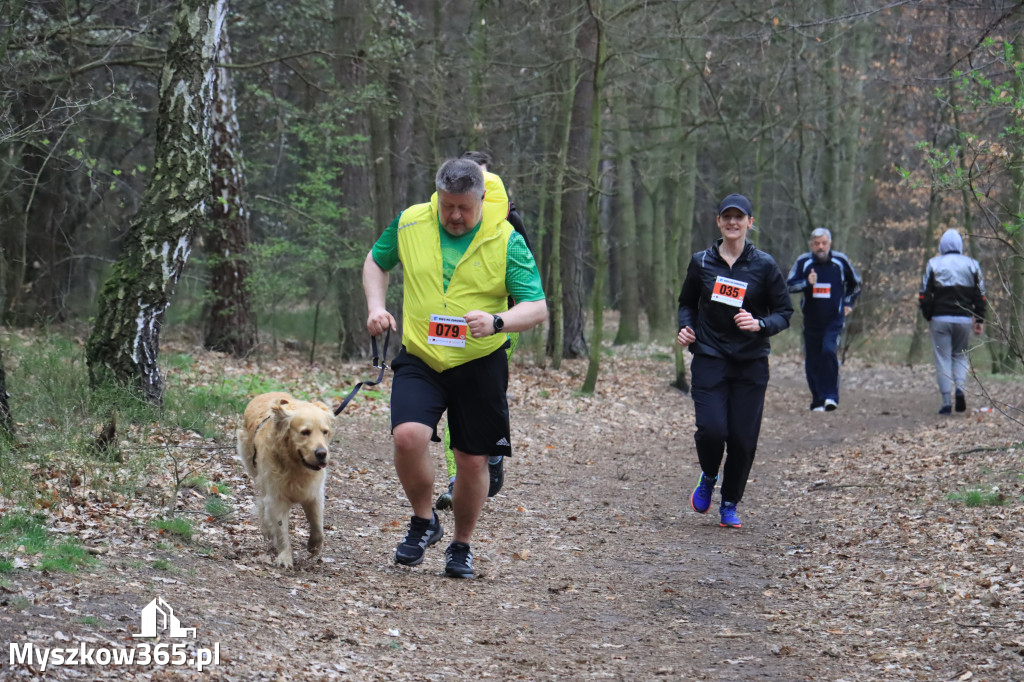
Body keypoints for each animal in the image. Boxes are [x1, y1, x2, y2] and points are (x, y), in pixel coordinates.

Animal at [235, 391, 331, 565]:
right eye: (305, 432)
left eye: (324, 431)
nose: (322, 453)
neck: (295, 466)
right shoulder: (276, 495)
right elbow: (281, 528)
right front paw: (285, 557)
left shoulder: (313, 494)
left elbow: (318, 525)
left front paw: (314, 546)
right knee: (263, 504)